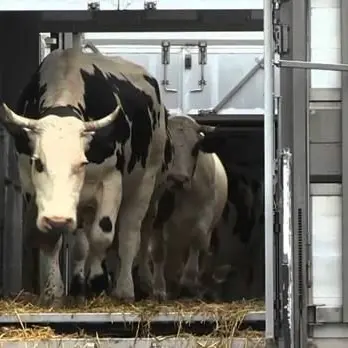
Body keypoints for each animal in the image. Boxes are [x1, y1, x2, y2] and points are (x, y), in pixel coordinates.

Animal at [0, 47, 170, 306]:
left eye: (82, 163)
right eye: (38, 162)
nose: (58, 219)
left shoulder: (111, 181)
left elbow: (102, 235)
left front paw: (99, 283)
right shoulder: (29, 184)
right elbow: (53, 238)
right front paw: (54, 292)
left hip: (146, 182)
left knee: (130, 234)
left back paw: (125, 288)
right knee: (82, 243)